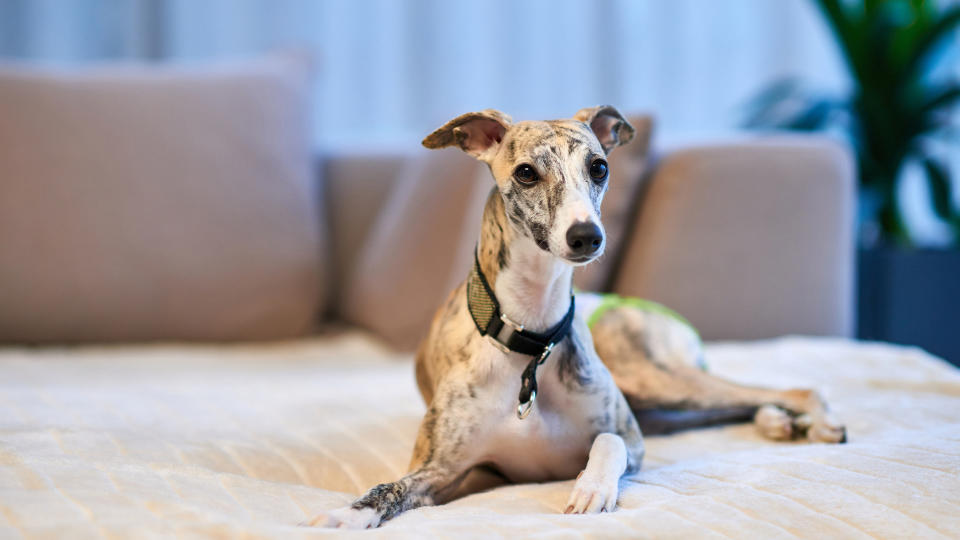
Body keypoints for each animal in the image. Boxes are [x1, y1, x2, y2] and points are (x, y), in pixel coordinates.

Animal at [310, 105, 848, 528]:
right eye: (526, 172)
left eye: (600, 167)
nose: (587, 237)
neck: (530, 337)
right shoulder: (451, 471)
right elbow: (390, 486)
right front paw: (346, 514)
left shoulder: (631, 435)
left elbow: (608, 440)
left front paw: (592, 489)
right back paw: (780, 422)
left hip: (651, 377)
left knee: (792, 388)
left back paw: (813, 422)